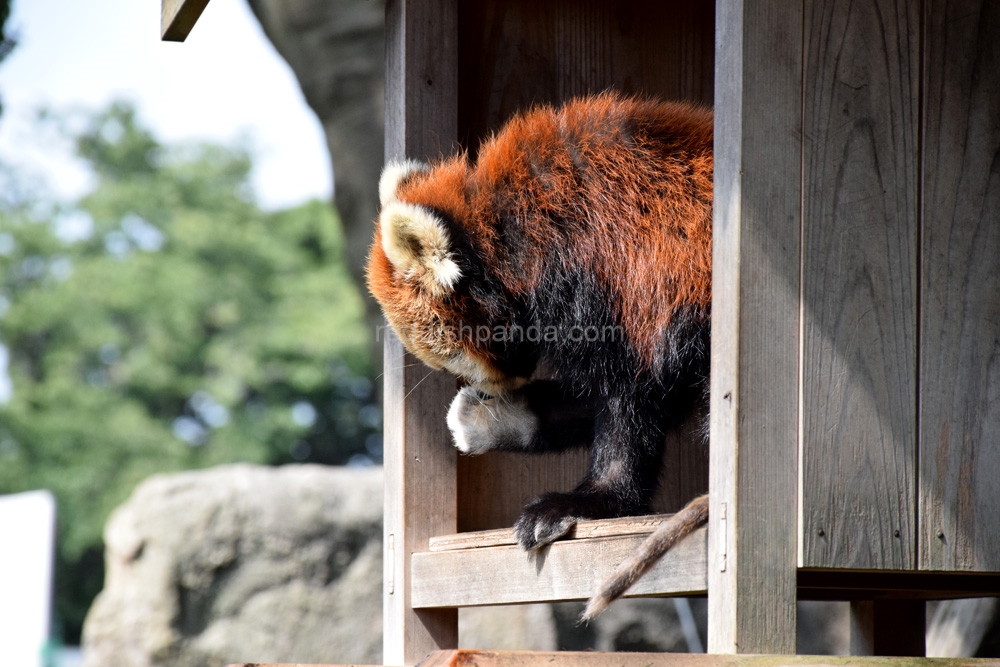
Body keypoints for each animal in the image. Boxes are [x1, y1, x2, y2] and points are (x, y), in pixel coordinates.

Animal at [368, 91, 712, 620]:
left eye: (453, 361)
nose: (492, 388)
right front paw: (498, 418)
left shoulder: (626, 276)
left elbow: (631, 399)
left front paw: (590, 500)